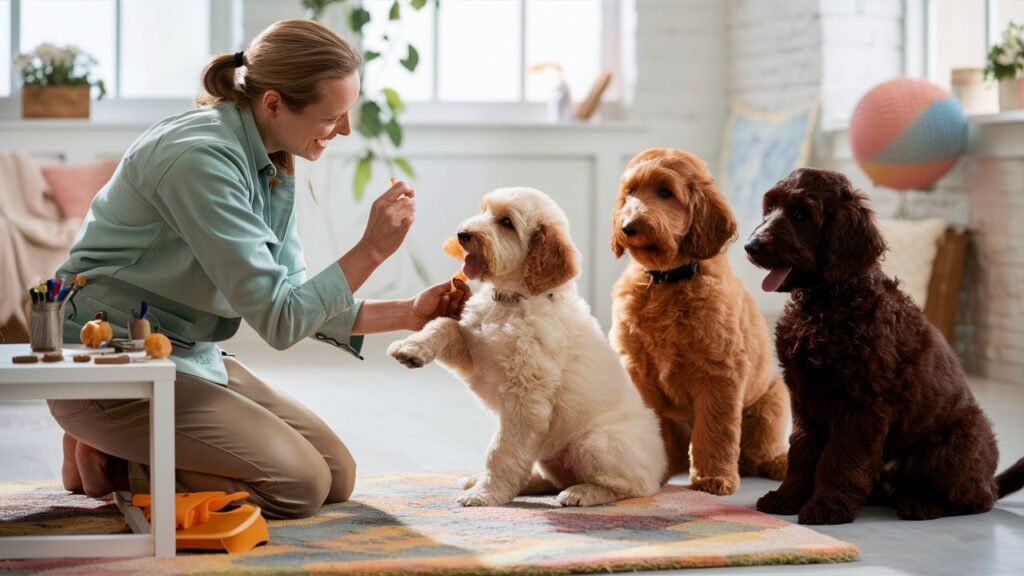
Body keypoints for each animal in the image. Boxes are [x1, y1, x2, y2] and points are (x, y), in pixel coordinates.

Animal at [387, 186, 667, 504]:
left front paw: (486, 494)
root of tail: (660, 470)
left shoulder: (524, 397)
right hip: (551, 454)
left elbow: (502, 450)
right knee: (550, 478)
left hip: (597, 444)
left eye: (506, 223)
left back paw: (582, 493)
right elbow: (444, 325)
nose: (462, 234)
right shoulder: (474, 354)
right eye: (485, 211)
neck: (512, 300)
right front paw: (411, 348)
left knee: (632, 488)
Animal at [610, 147, 786, 494]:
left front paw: (713, 478)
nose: (628, 226)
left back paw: (780, 464)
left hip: (772, 402)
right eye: (630, 193)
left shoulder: (720, 373)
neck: (667, 279)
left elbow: (715, 429)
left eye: (665, 193)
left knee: (761, 452)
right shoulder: (639, 373)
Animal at [745, 167, 1024, 524]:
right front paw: (787, 497)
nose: (751, 245)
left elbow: (838, 457)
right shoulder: (805, 398)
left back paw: (922, 503)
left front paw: (826, 506)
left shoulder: (861, 402)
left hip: (951, 449)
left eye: (799, 214)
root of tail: (991, 478)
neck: (828, 302)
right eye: (769, 208)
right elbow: (802, 451)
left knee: (974, 497)